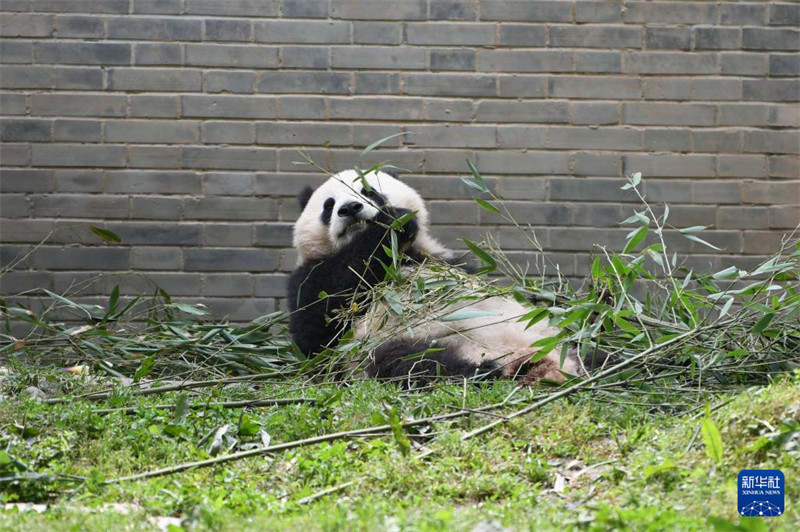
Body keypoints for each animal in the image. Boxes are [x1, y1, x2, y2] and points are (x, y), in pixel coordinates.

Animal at [286, 170, 580, 382]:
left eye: (369, 191)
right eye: (329, 205)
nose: (350, 208)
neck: (401, 257)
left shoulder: (444, 261)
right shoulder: (310, 278)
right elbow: (317, 333)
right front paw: (392, 225)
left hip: (555, 333)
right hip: (397, 342)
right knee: (410, 363)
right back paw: (484, 371)